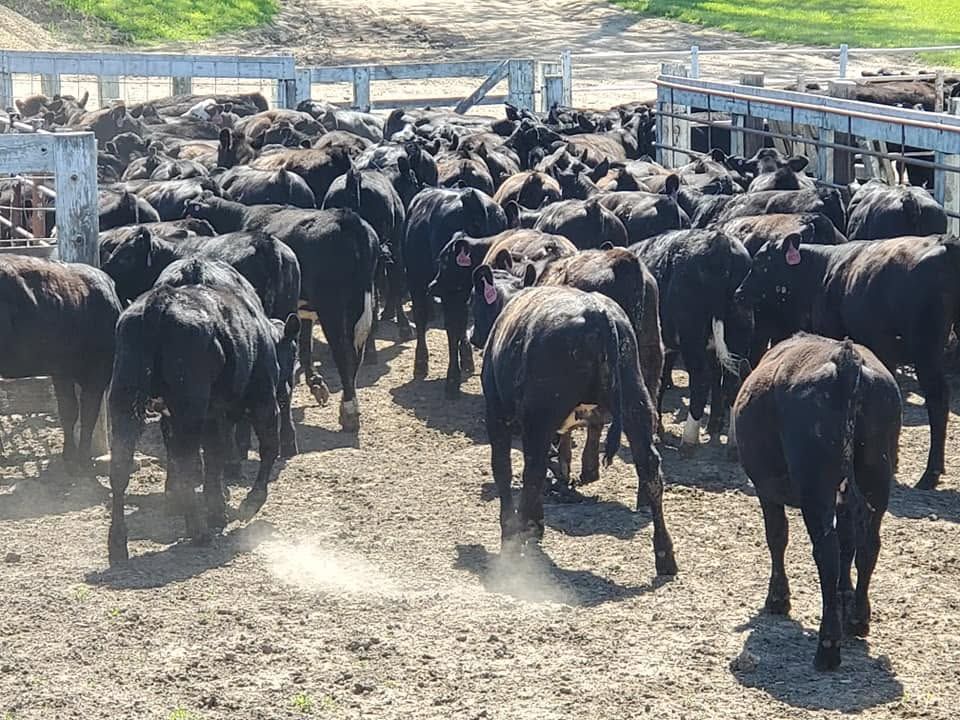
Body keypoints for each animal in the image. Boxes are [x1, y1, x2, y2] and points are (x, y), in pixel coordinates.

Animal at [0, 256, 122, 471]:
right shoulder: (98, 373)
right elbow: (88, 413)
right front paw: (83, 459)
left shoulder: (61, 370)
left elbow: (69, 410)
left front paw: (70, 456)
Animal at [108, 258, 300, 565]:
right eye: (293, 352)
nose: (288, 386)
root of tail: (160, 302)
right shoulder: (262, 400)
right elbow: (267, 447)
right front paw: (250, 502)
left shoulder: (212, 414)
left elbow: (213, 455)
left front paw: (217, 506)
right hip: (190, 407)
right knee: (187, 462)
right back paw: (198, 530)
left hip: (125, 401)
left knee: (121, 466)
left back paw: (118, 542)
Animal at [476, 285, 677, 576]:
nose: (472, 335)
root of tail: (597, 312)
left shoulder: (497, 415)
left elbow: (502, 468)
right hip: (636, 403)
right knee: (649, 468)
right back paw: (665, 555)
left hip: (539, 417)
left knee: (532, 471)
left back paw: (522, 534)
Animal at [733, 333, 901, 670]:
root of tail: (845, 358)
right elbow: (849, 544)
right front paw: (844, 595)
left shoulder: (766, 490)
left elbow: (777, 536)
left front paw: (778, 598)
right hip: (876, 476)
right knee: (867, 545)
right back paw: (858, 619)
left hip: (815, 487)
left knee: (827, 552)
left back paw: (828, 646)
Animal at [734, 234, 960, 490]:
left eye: (761, 263)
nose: (739, 293)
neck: (820, 271)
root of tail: (945, 242)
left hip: (926, 349)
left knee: (938, 399)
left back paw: (930, 474)